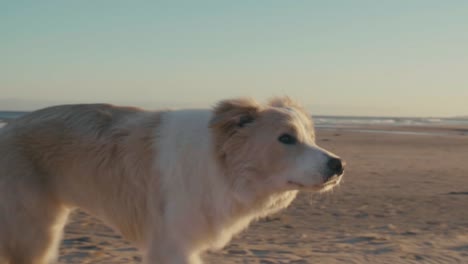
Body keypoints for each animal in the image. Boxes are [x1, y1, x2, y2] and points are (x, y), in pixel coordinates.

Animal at [0, 97, 344, 264]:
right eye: (286, 139)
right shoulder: (170, 245)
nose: (339, 164)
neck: (220, 162)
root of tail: (7, 127)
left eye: (311, 137)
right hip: (34, 235)